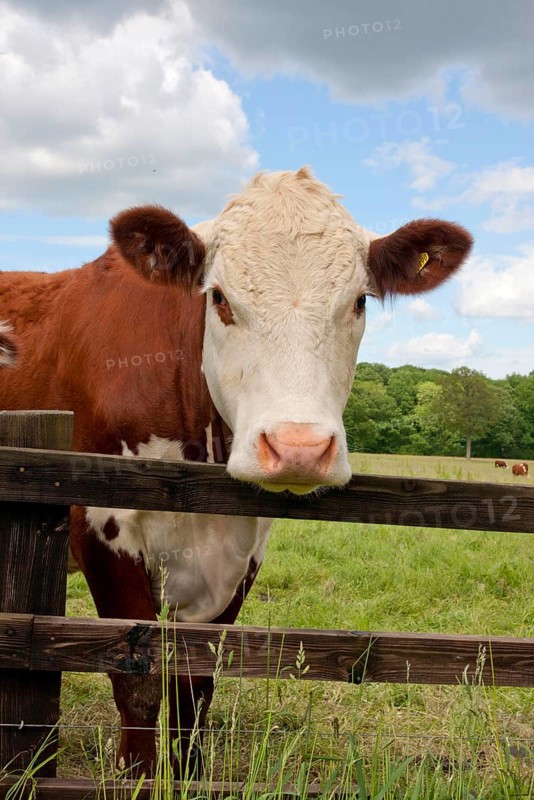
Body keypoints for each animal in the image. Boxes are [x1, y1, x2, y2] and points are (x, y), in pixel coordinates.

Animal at [0, 167, 473, 776]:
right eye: (220, 299)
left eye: (360, 301)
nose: (299, 447)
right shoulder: (100, 524)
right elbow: (139, 684)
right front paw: (138, 777)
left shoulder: (241, 553)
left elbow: (195, 688)